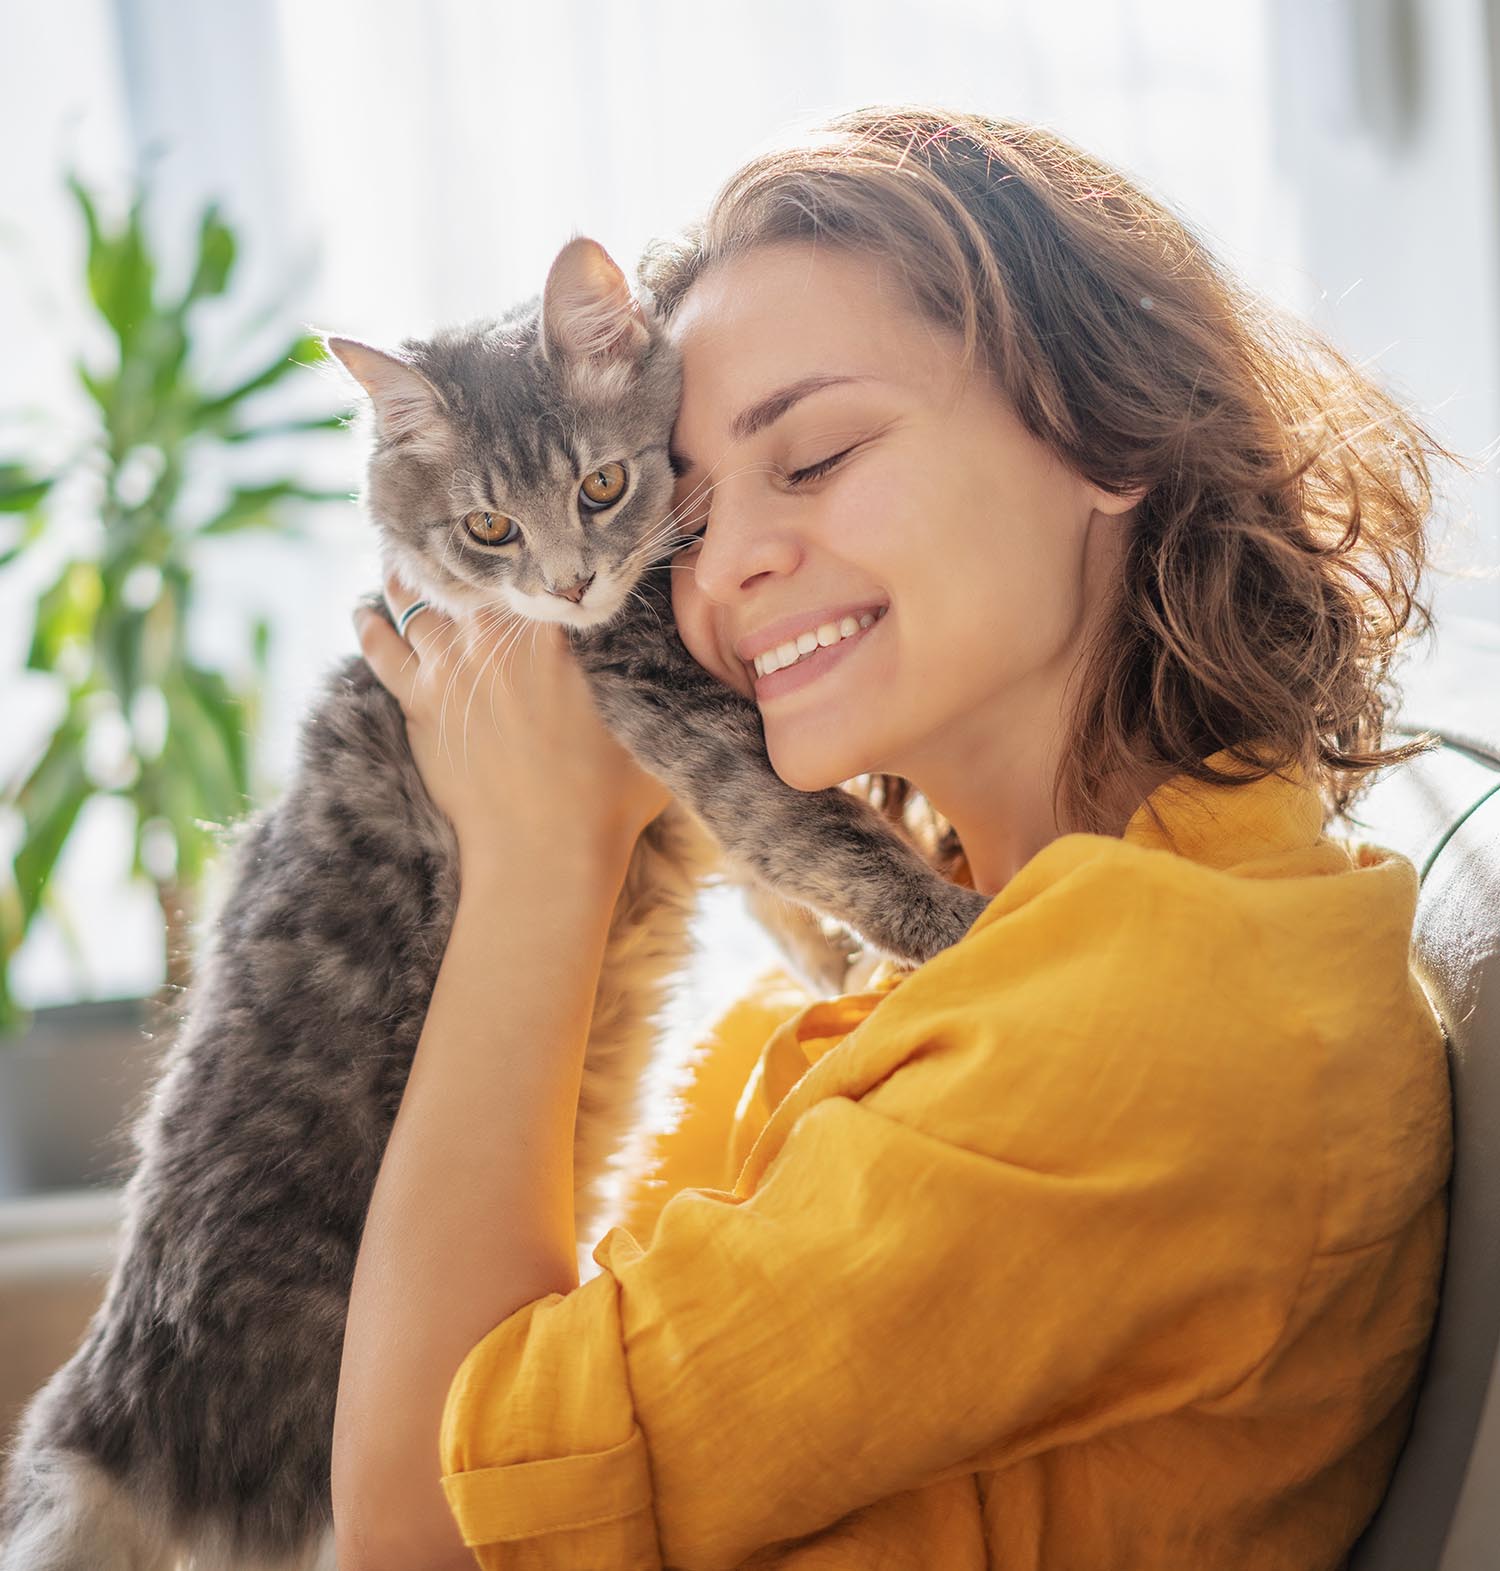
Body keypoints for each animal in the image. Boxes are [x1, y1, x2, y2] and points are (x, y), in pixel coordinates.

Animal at [0, 235, 992, 1571]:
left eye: (603, 485)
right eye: (489, 526)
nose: (571, 584)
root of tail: (107, 1420)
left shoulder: (685, 757)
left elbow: (780, 879)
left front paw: (838, 968)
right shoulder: (682, 709)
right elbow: (823, 835)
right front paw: (958, 922)